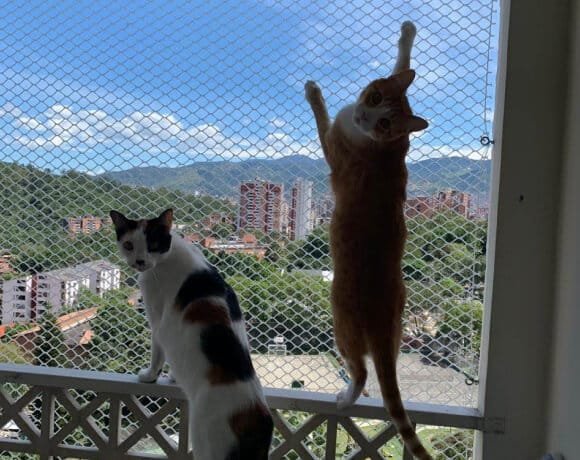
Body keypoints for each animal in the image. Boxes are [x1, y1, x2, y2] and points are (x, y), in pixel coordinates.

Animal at [110, 209, 274, 460]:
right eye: (129, 245)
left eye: (152, 244)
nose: (139, 261)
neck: (168, 255)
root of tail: (259, 418)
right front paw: (173, 377)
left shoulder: (158, 320)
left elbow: (157, 354)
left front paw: (150, 376)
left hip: (205, 443)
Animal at [304, 19, 430, 458]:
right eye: (375, 96)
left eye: (385, 124)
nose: (362, 114)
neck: (384, 145)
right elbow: (403, 64)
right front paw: (408, 34)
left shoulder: (332, 146)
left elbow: (322, 118)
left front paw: (315, 92)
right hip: (397, 329)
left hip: (341, 323)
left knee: (359, 371)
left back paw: (346, 397)